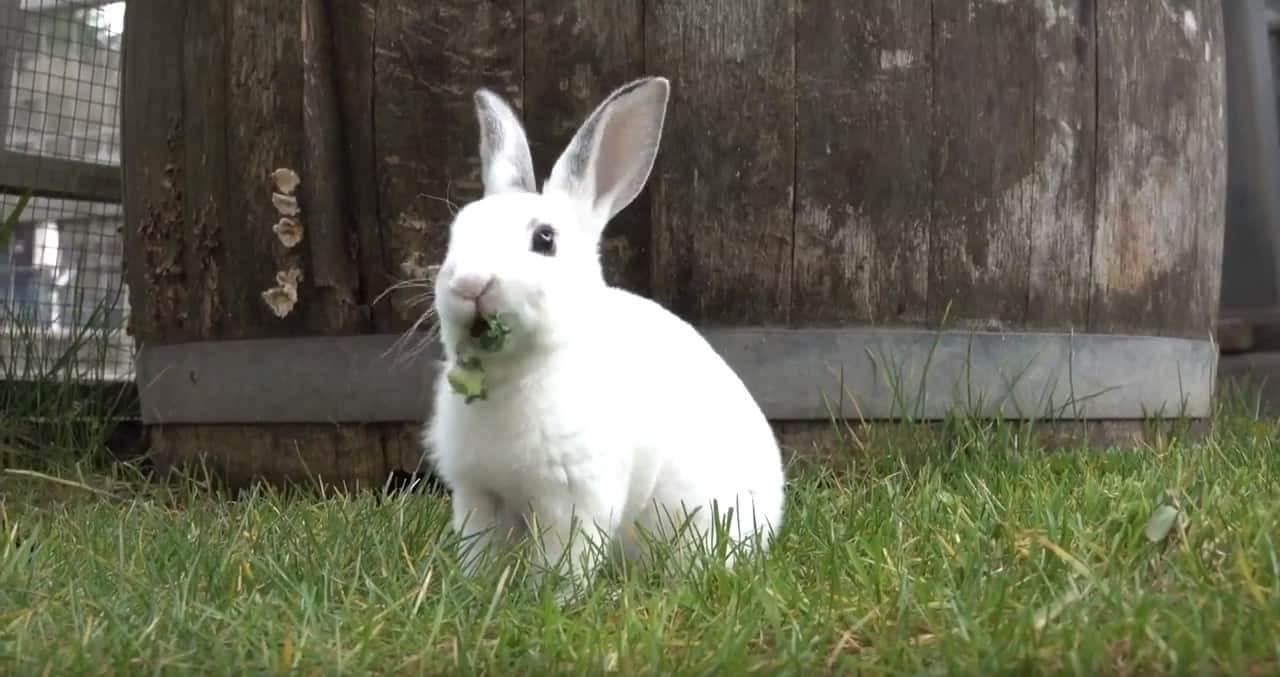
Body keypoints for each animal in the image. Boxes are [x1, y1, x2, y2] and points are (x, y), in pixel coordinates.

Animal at [424, 75, 783, 591]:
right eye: (456, 233)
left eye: (545, 240)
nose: (469, 284)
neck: (517, 372)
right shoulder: (478, 496)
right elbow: (481, 553)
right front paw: (478, 590)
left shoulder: (574, 501)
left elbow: (564, 561)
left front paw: (553, 597)